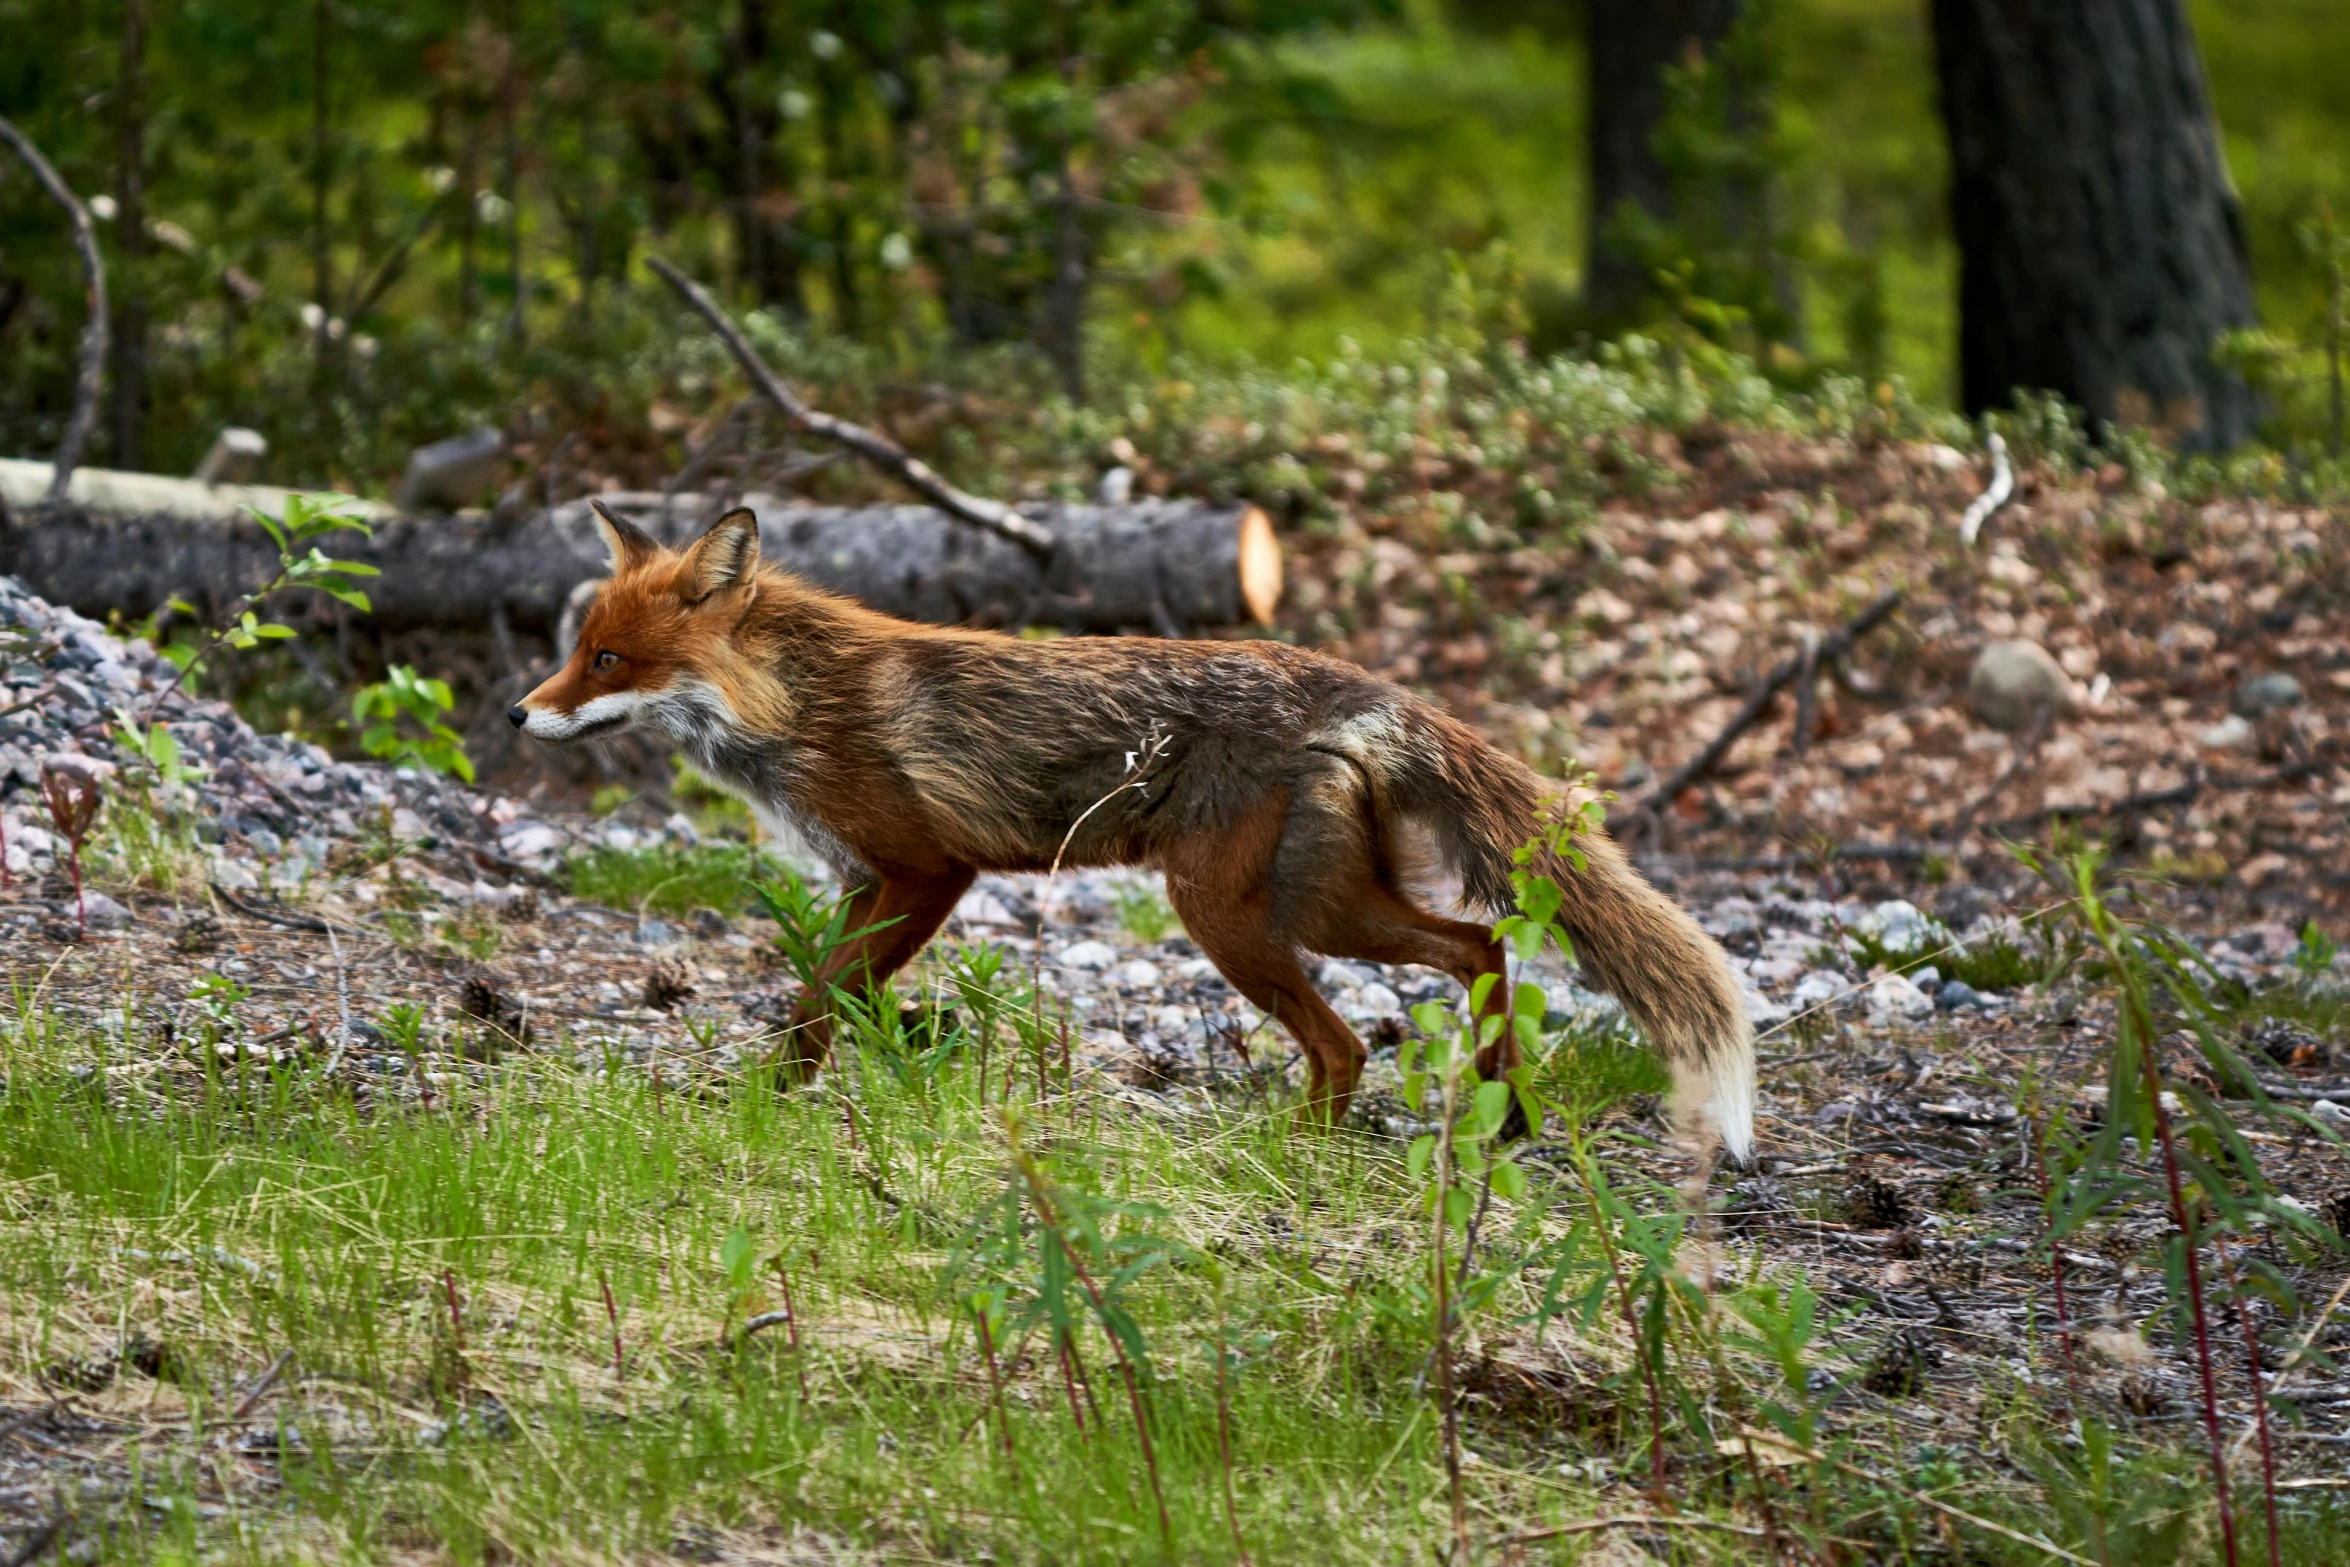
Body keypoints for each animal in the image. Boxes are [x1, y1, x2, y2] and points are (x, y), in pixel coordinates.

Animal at [519, 502, 1767, 1165]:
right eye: (576, 649)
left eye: (608, 660)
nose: (521, 714)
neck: (799, 704)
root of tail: (1357, 684)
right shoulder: (870, 882)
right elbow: (829, 999)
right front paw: (834, 1083)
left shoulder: (926, 868)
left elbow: (819, 998)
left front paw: (777, 1104)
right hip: (1327, 905)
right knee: (1481, 946)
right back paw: (1502, 1111)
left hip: (1233, 916)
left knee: (1350, 1040)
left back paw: (1294, 1153)